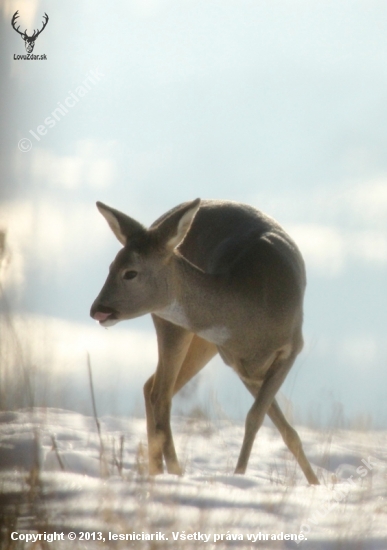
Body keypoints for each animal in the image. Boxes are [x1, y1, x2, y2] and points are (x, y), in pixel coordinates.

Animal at [90, 201, 318, 486]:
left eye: (129, 272)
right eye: (110, 266)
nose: (97, 309)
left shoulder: (290, 348)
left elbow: (275, 425)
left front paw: (316, 482)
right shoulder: (236, 361)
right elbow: (256, 417)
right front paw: (239, 476)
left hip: (202, 343)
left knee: (150, 386)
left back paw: (158, 471)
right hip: (172, 325)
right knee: (160, 394)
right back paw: (172, 471)